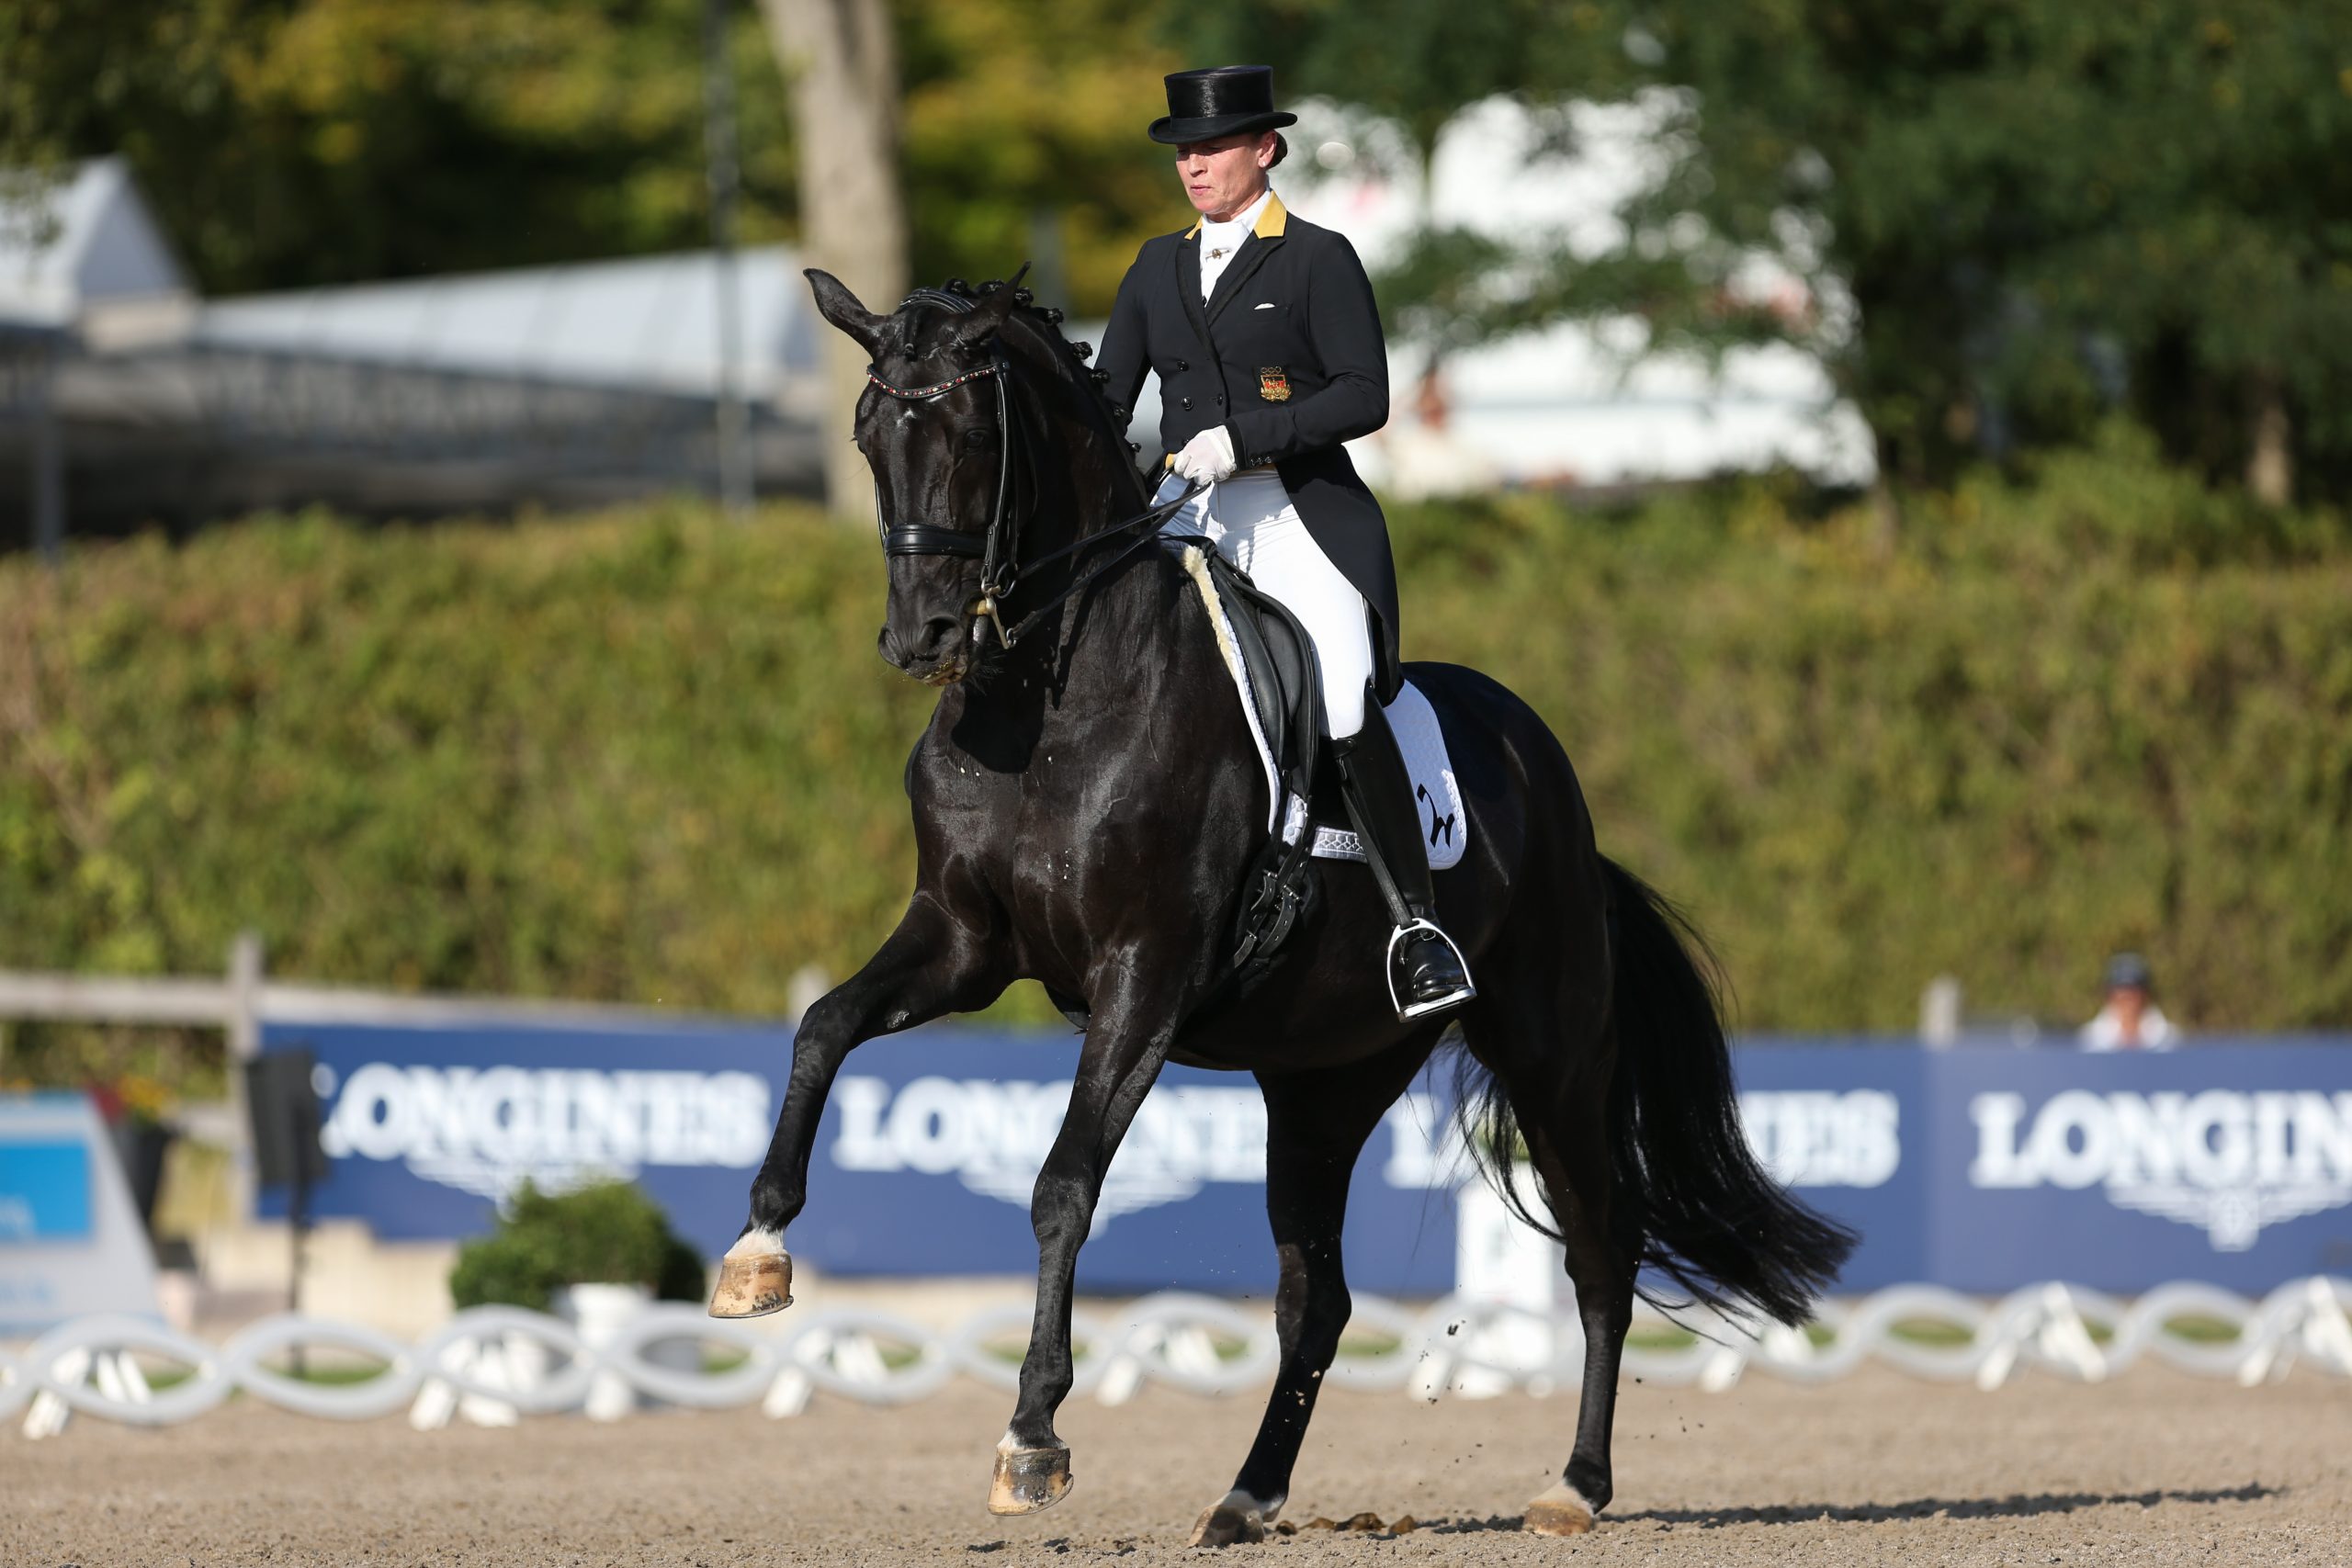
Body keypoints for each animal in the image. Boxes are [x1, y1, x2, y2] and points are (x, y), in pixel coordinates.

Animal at [706, 272, 1844, 1541]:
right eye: (868, 438)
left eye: (967, 434)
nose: (924, 639)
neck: (1046, 702)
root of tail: (1545, 769)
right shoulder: (960, 944)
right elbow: (822, 1029)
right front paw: (755, 1254)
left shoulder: (1142, 978)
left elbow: (1062, 1185)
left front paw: (1033, 1435)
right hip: (1324, 1085)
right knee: (1319, 1299)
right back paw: (1247, 1496)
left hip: (1550, 1051)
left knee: (1601, 1252)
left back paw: (1574, 1486)